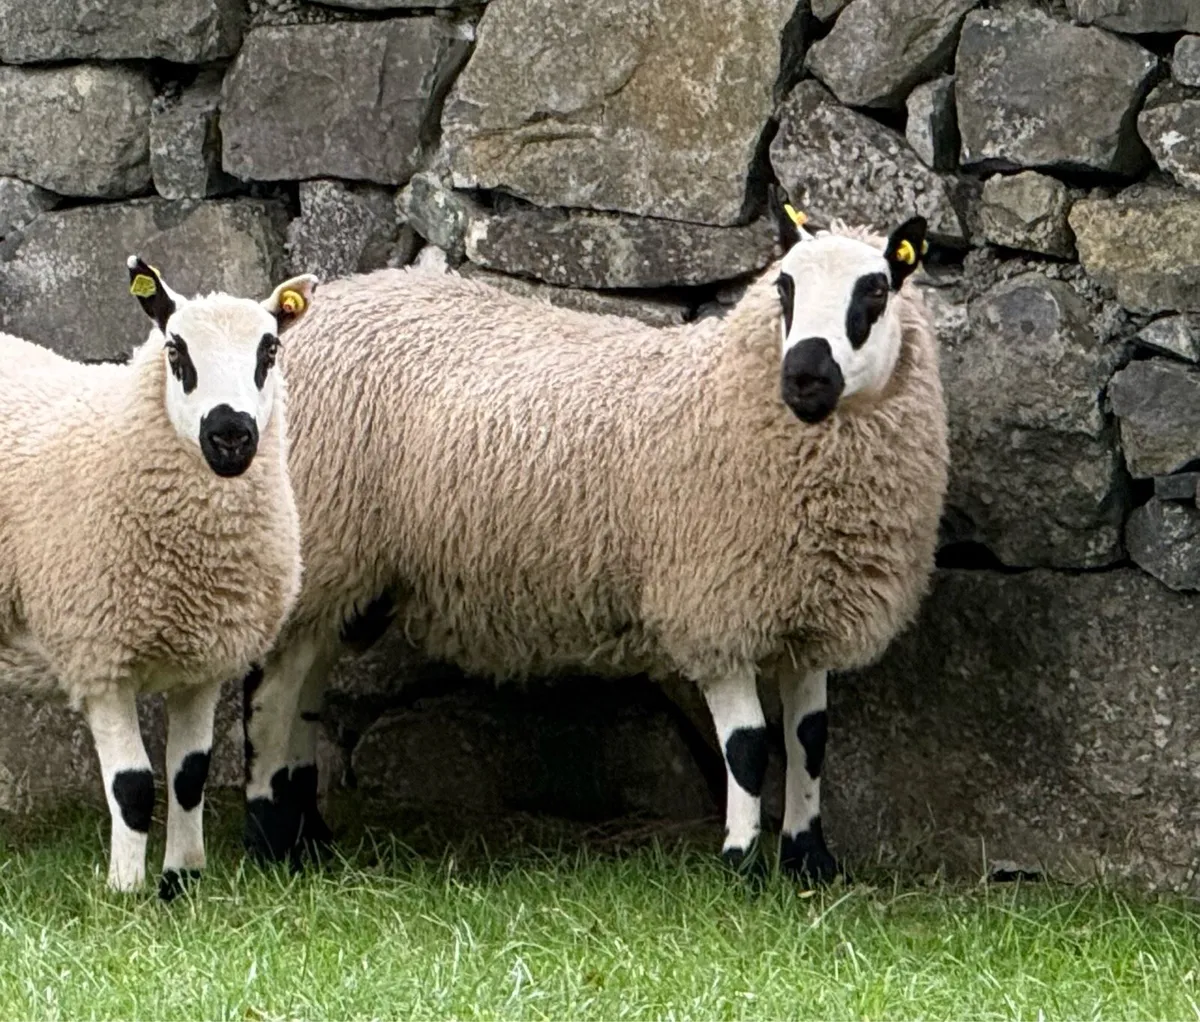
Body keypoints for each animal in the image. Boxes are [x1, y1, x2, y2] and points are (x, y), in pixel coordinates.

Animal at [0, 258, 317, 899]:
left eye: (269, 349)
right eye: (176, 349)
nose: (231, 435)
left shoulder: (206, 659)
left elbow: (188, 776)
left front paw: (182, 881)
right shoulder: (99, 655)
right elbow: (133, 786)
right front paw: (124, 891)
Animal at [242, 198, 948, 881]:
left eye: (875, 291)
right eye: (784, 287)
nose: (803, 375)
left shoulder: (805, 612)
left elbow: (810, 740)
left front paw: (811, 862)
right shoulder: (711, 606)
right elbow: (747, 747)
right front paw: (743, 868)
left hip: (345, 578)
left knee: (303, 696)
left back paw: (310, 833)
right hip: (321, 552)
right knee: (270, 699)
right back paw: (271, 839)